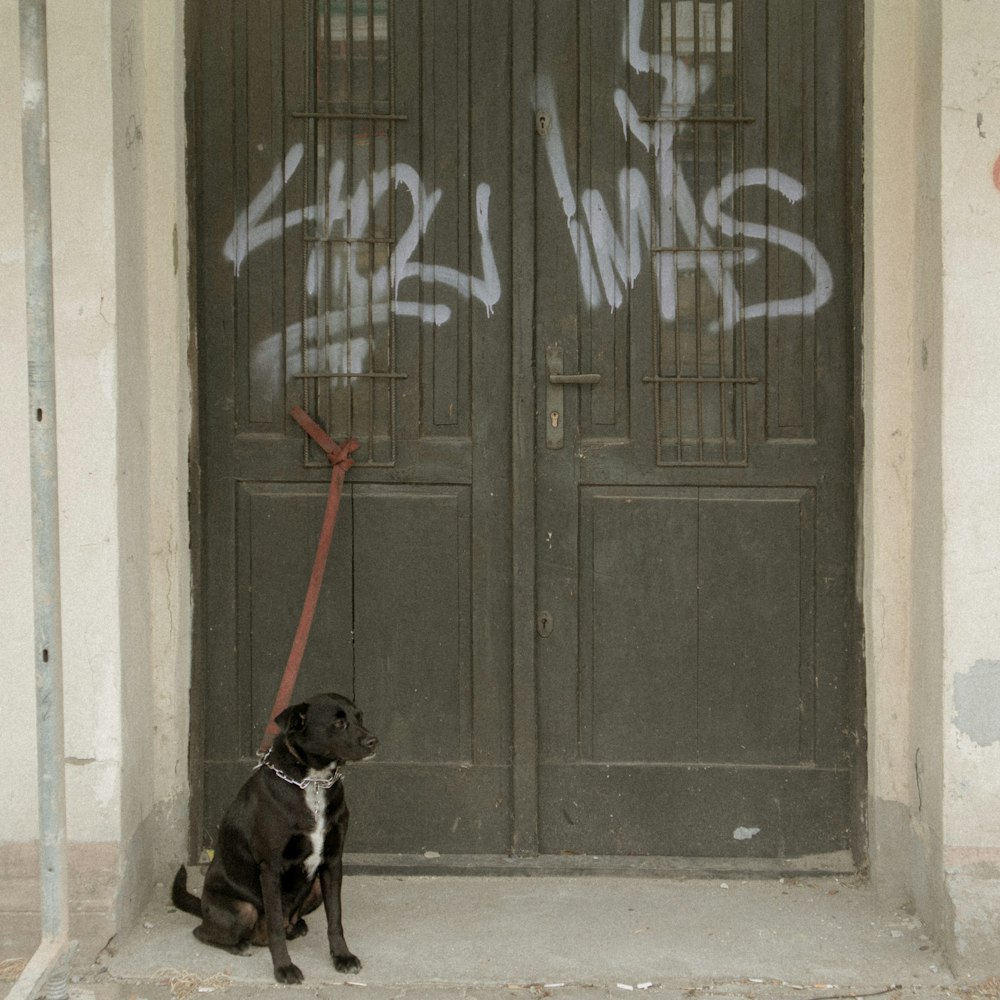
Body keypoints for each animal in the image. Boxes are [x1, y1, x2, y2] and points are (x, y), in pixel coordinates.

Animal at [170, 692, 376, 980]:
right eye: (338, 723)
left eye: (360, 717)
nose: (373, 741)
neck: (313, 782)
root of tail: (203, 908)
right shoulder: (271, 868)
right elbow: (276, 926)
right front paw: (284, 968)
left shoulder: (333, 862)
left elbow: (335, 919)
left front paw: (342, 957)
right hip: (242, 909)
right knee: (204, 932)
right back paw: (240, 945)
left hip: (314, 889)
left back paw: (297, 927)